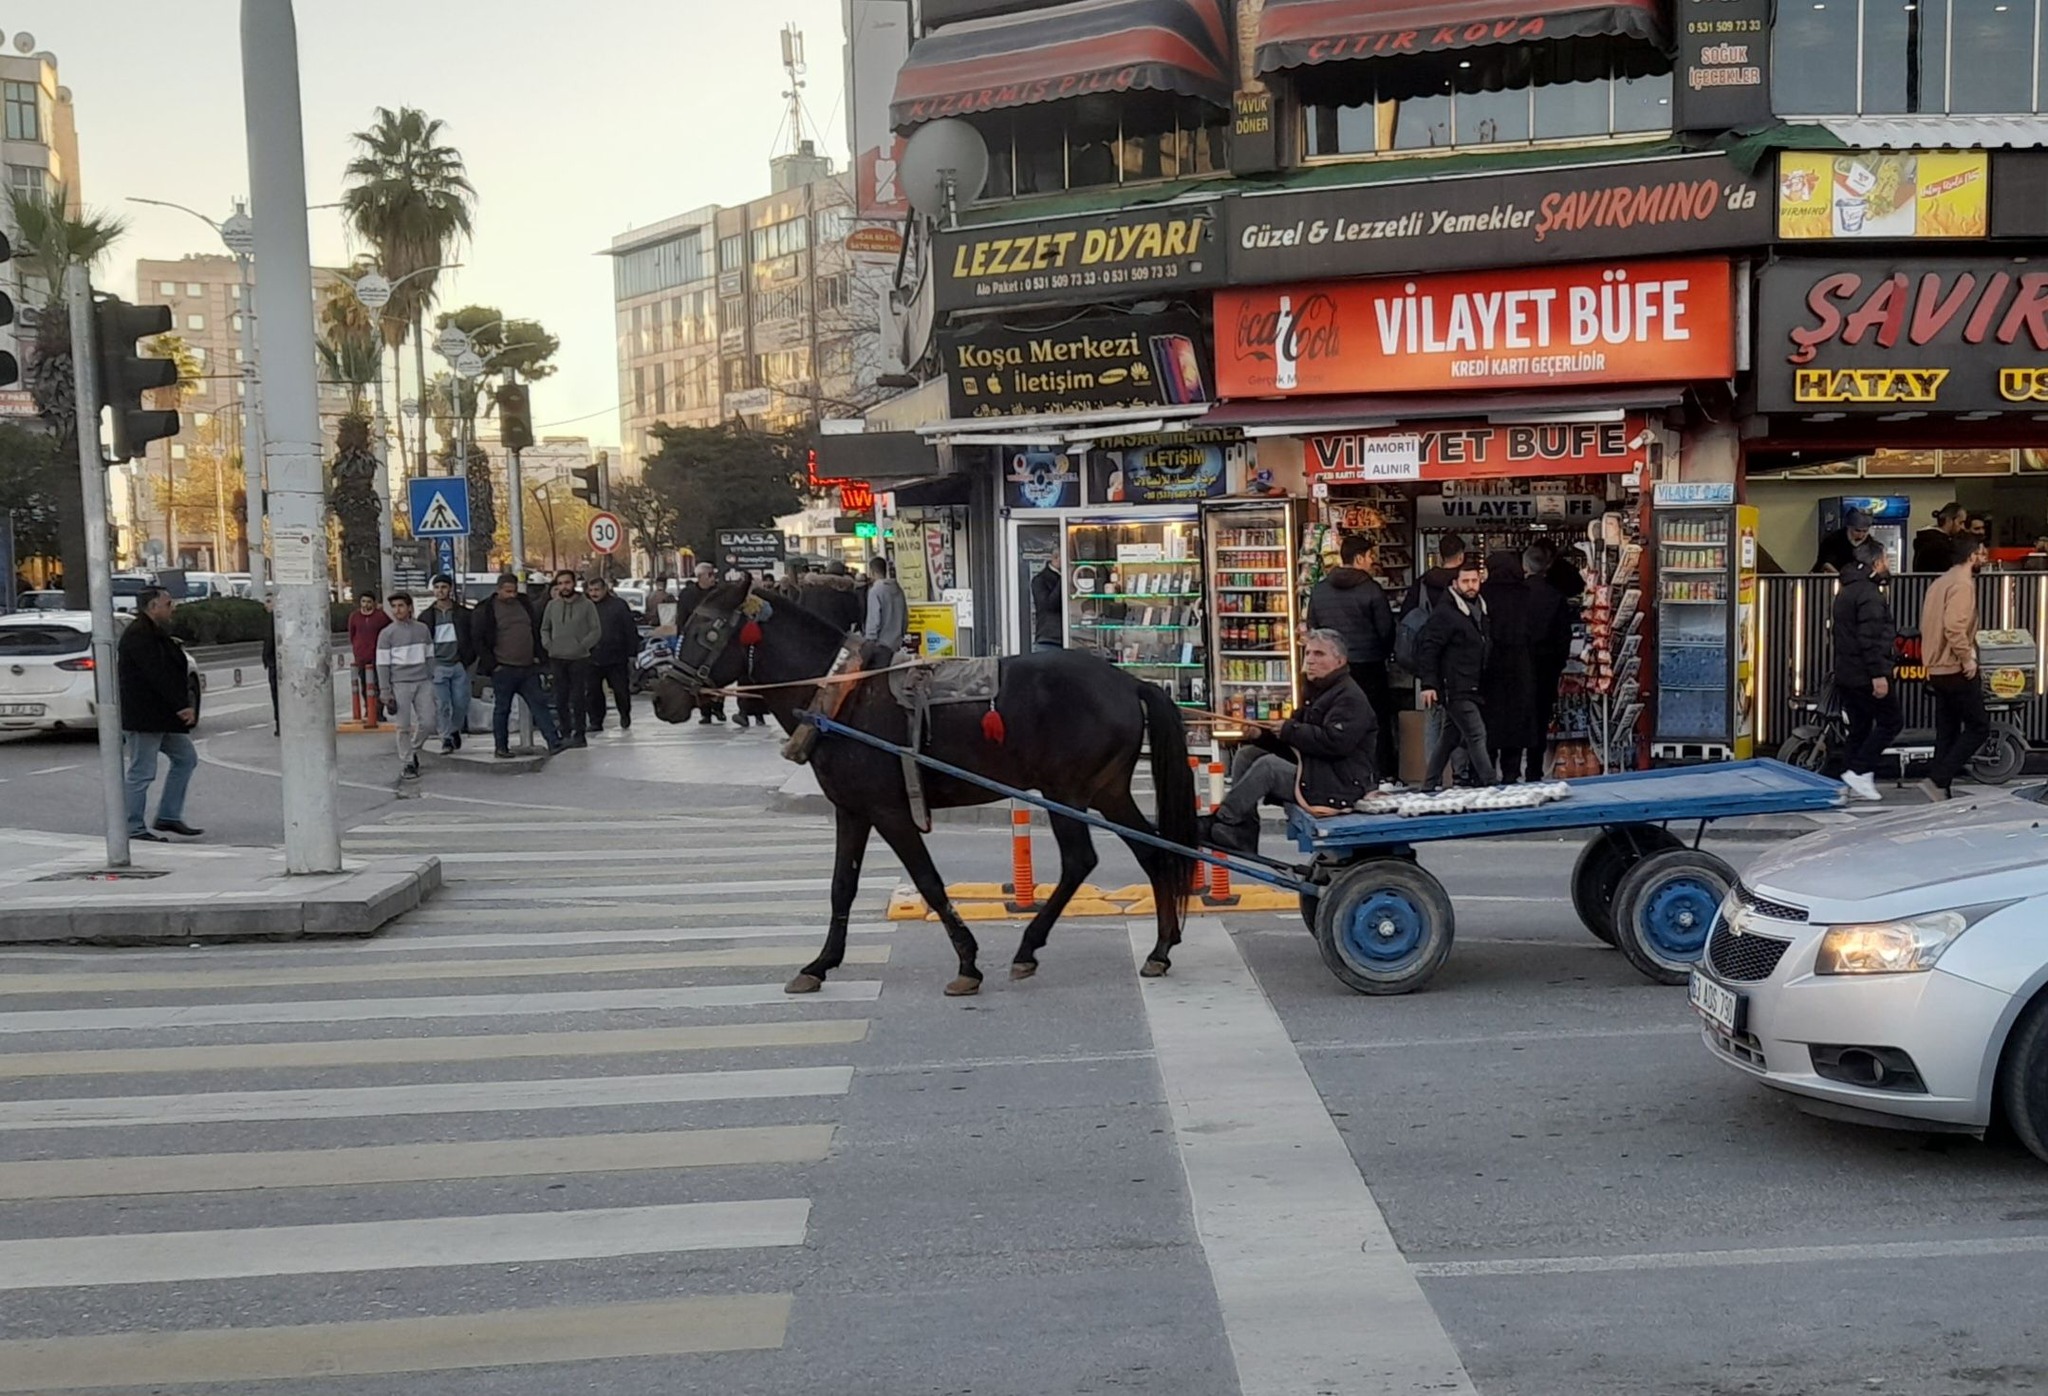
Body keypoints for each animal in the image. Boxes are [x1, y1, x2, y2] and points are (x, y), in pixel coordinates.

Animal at [651, 577, 1196, 990]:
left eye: (706, 630)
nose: (661, 700)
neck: (840, 694)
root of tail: (1127, 681)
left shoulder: (890, 812)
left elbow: (929, 882)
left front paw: (968, 962)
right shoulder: (852, 811)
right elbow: (842, 886)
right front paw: (821, 964)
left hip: (1068, 794)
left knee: (1080, 861)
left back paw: (1029, 946)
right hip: (1107, 792)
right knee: (1154, 853)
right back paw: (1161, 947)